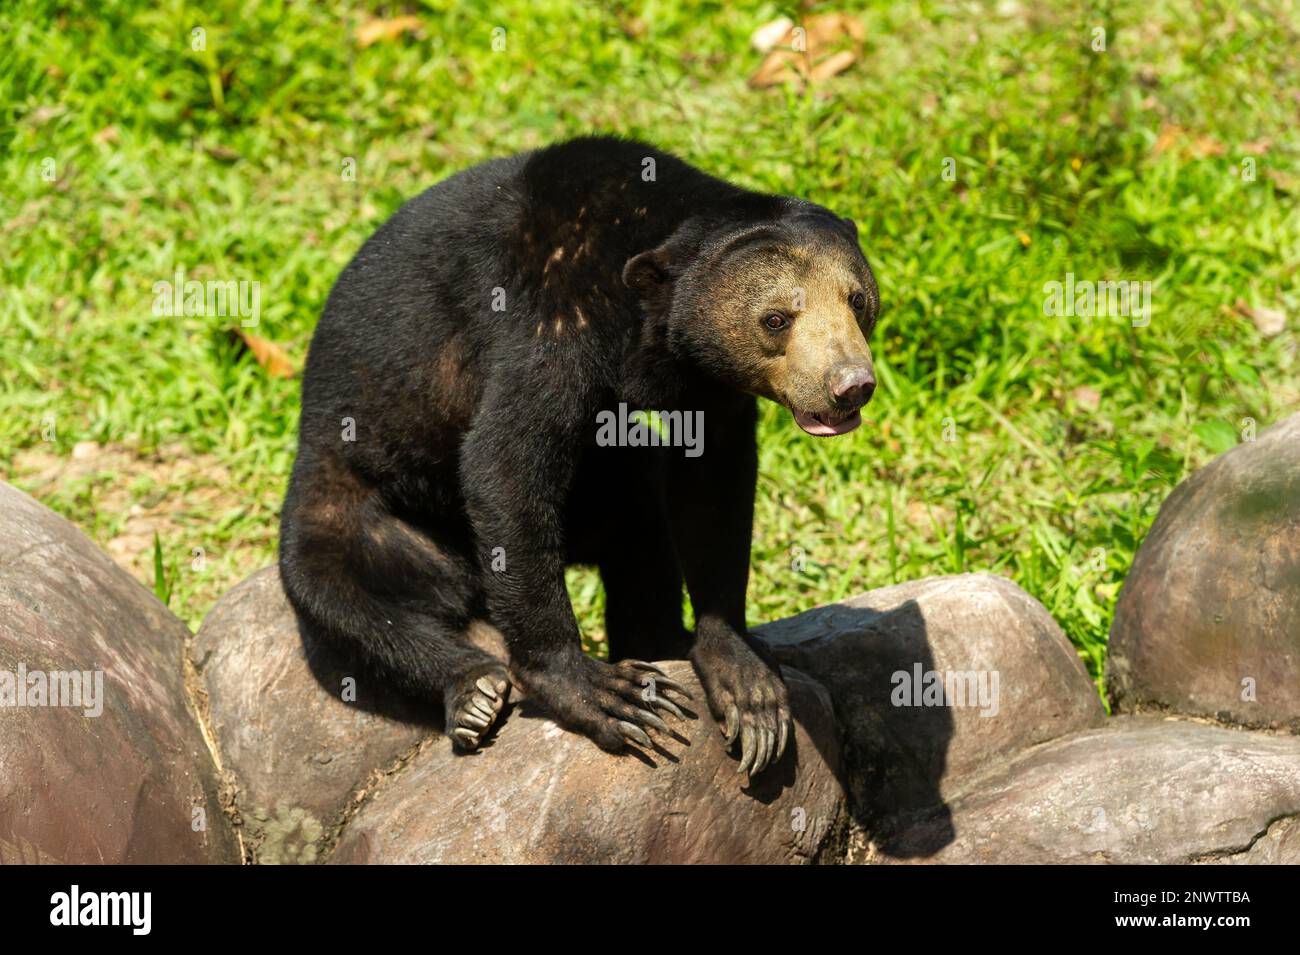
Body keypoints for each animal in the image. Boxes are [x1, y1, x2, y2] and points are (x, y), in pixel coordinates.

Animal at [278, 132, 878, 779]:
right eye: (776, 319)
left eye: (858, 302)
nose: (850, 386)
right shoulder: (553, 316)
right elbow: (504, 466)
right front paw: (607, 695)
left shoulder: (707, 388)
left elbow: (712, 482)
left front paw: (746, 685)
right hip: (349, 490)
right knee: (335, 587)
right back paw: (475, 692)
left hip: (601, 485)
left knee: (640, 536)